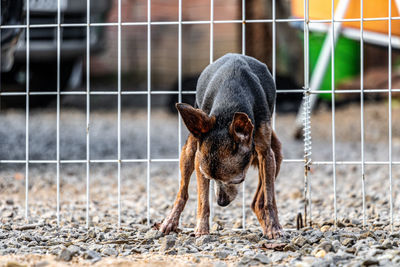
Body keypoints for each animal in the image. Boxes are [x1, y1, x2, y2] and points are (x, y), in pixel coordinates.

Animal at [158, 53, 282, 240]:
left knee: (259, 200)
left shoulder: (266, 156)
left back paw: (267, 223)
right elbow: (203, 200)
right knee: (182, 191)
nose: (221, 202)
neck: (228, 111)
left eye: (238, 180)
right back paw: (171, 221)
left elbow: (269, 197)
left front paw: (273, 227)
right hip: (190, 149)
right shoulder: (199, 162)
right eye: (209, 177)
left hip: (277, 156)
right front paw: (202, 229)